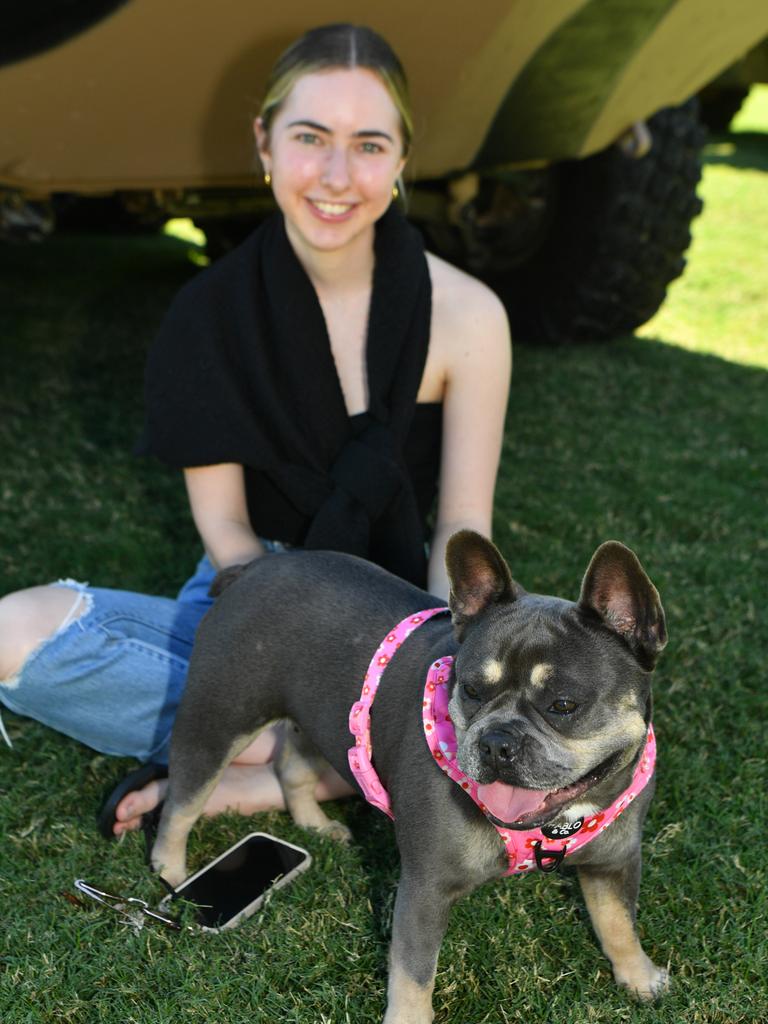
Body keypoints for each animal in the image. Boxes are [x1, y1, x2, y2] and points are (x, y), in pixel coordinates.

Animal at [153, 532, 671, 1019]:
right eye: (470, 690)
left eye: (563, 705)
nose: (497, 742)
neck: (553, 825)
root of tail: (251, 570)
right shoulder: (425, 890)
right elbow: (413, 971)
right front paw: (407, 1018)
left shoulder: (614, 863)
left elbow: (617, 922)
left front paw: (639, 976)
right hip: (218, 721)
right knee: (182, 800)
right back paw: (172, 872)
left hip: (326, 721)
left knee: (292, 764)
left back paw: (314, 826)